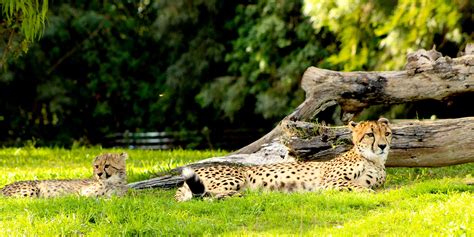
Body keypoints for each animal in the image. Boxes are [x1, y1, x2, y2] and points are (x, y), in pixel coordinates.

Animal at [176, 117, 390, 201]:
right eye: (370, 134)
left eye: (387, 133)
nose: (383, 146)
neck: (373, 161)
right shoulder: (330, 182)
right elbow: (359, 187)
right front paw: (370, 193)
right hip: (235, 177)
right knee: (208, 194)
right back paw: (238, 195)